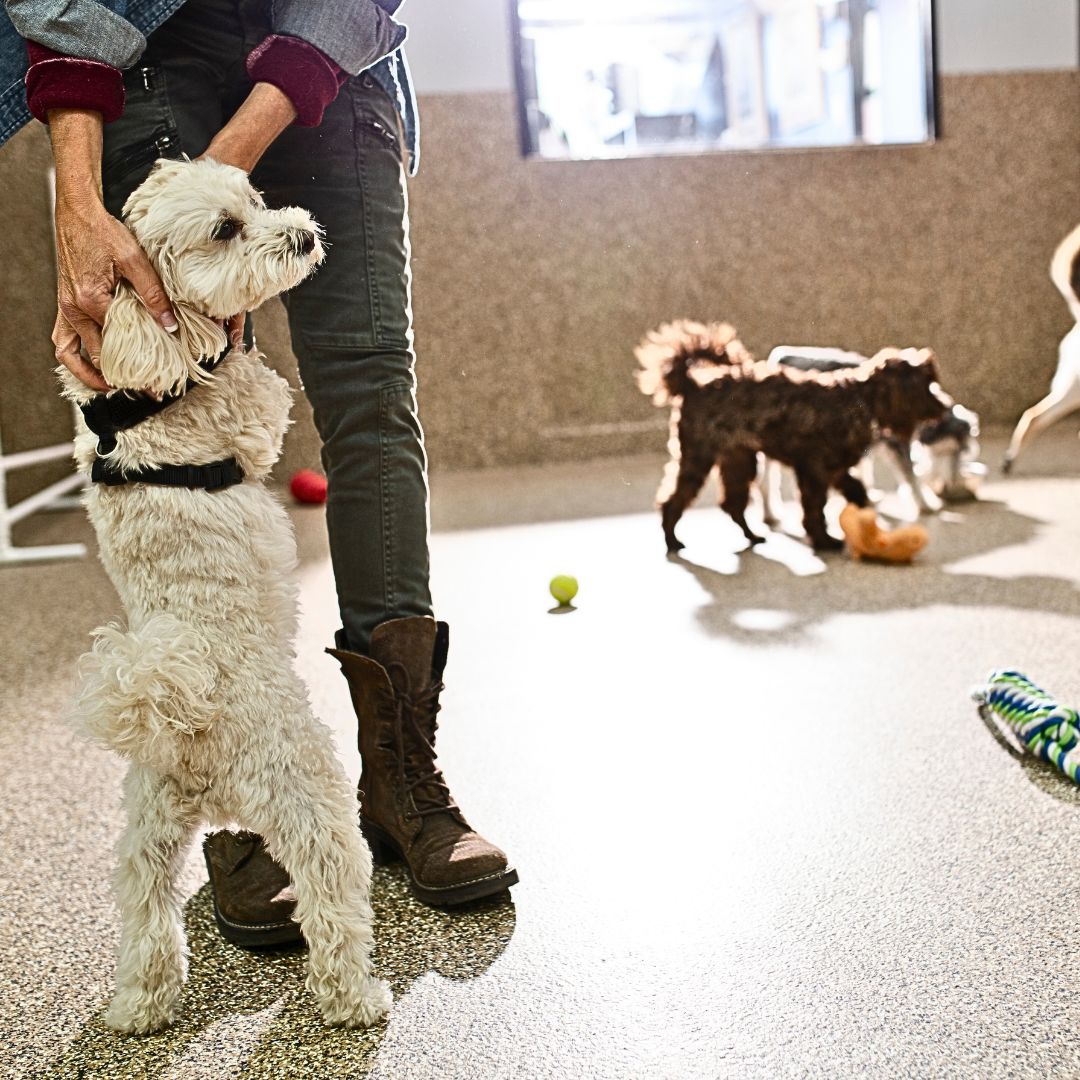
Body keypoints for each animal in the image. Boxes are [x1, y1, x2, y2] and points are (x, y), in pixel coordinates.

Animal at [635, 321, 950, 552]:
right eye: (926, 386)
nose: (945, 406)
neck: (858, 399)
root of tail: (692, 384)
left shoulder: (834, 469)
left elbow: (857, 489)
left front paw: (863, 518)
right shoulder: (813, 470)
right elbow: (814, 510)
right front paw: (824, 541)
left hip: (739, 459)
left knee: (733, 503)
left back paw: (752, 537)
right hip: (698, 457)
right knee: (673, 500)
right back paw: (672, 541)